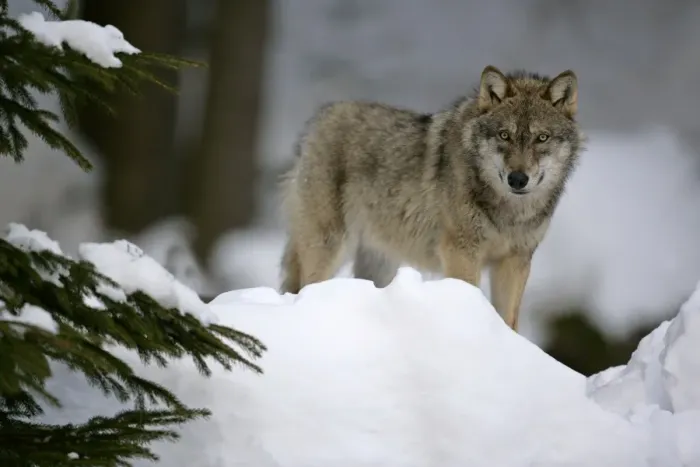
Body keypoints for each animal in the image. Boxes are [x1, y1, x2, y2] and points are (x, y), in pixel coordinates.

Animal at [279, 65, 583, 331]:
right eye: (504, 135)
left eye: (542, 138)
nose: (517, 179)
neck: (510, 211)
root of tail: (318, 120)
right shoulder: (462, 252)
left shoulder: (515, 261)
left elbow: (509, 322)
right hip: (329, 247)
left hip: (379, 264)